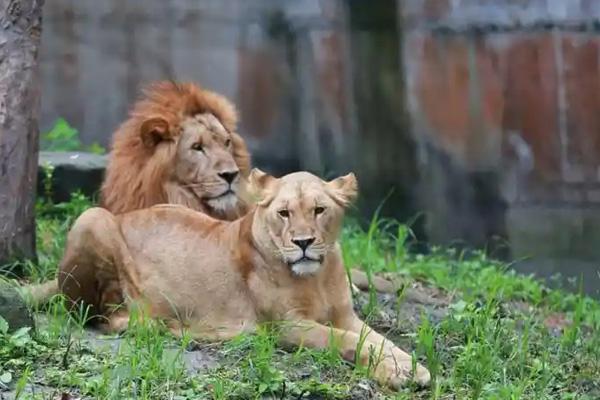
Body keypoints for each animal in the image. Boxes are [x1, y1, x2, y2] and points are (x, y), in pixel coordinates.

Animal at [57, 170, 432, 390]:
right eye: (284, 213)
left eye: (319, 210)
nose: (304, 243)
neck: (316, 277)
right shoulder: (285, 325)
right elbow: (345, 340)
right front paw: (397, 372)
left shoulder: (345, 314)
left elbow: (378, 339)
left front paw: (410, 368)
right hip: (93, 217)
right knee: (96, 314)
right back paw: (157, 325)